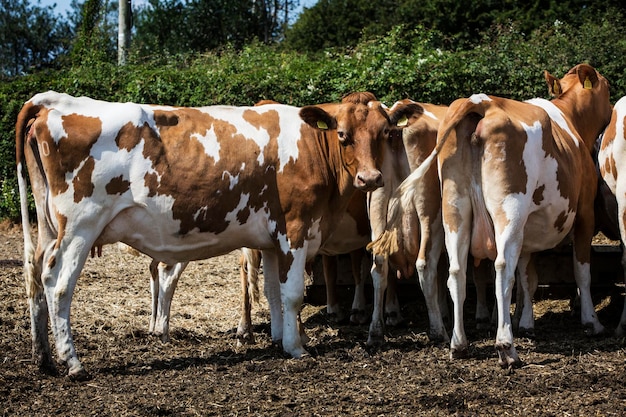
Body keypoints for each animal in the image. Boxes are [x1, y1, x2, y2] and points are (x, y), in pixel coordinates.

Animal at [15, 91, 420, 376]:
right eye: (343, 135)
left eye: (384, 133)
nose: (371, 178)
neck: (311, 149)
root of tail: (53, 101)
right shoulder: (295, 230)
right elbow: (292, 295)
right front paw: (296, 348)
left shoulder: (269, 239)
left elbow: (272, 293)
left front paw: (278, 339)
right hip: (81, 226)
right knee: (58, 284)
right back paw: (72, 363)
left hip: (50, 229)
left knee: (35, 276)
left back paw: (43, 357)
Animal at [370, 63, 608, 366]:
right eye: (607, 87)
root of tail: (480, 102)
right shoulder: (585, 213)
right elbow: (580, 271)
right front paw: (591, 322)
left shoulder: (528, 232)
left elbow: (528, 277)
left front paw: (525, 321)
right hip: (508, 210)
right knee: (501, 269)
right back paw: (505, 347)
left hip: (452, 210)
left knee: (454, 271)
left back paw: (457, 343)